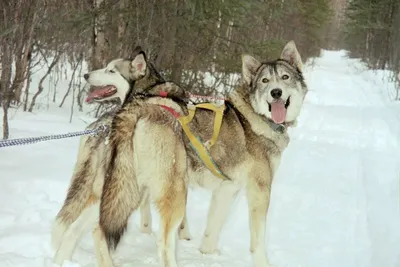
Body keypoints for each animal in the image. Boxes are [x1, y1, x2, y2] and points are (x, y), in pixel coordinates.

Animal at [97, 40, 310, 267]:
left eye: (285, 77)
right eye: (265, 80)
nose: (276, 92)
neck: (256, 116)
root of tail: (139, 107)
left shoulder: (227, 189)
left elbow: (213, 228)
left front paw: (207, 254)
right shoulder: (259, 190)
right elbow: (258, 239)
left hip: (123, 186)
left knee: (99, 228)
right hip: (171, 191)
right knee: (163, 242)